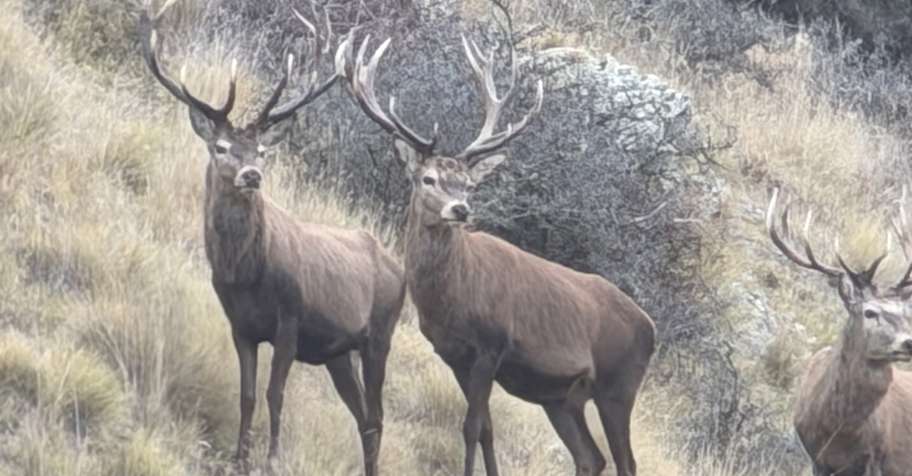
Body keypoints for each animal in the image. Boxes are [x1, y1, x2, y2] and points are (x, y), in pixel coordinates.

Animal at [138, 7, 405, 474]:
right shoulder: (240, 326)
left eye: (261, 151)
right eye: (221, 147)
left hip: (380, 335)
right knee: (363, 417)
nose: (252, 175)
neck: (244, 274)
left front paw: (273, 458)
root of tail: (402, 268)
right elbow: (246, 395)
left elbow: (273, 394)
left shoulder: (290, 320)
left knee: (377, 416)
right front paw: (239, 456)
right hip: (340, 354)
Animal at [337, 35, 657, 476]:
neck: (452, 298)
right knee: (591, 457)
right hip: (561, 398)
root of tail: (652, 329)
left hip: (618, 386)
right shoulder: (454, 355)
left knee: (626, 461)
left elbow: (470, 426)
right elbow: (486, 429)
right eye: (428, 178)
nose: (460, 210)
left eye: (469, 185)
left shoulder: (492, 345)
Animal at [766, 187, 912, 476]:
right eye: (870, 312)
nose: (909, 342)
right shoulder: (816, 457)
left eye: (907, 314)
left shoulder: (879, 459)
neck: (839, 430)